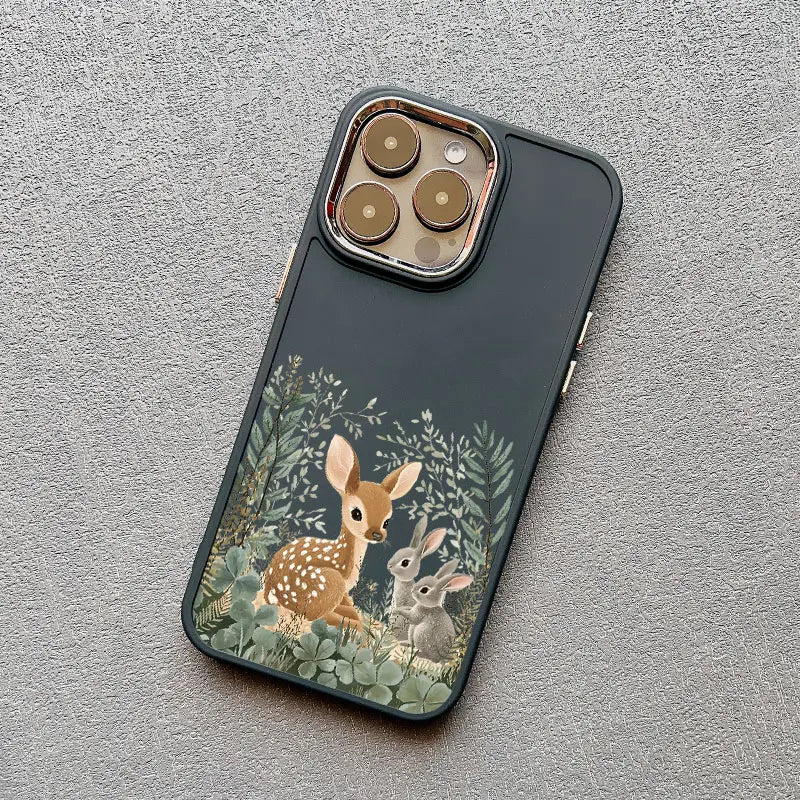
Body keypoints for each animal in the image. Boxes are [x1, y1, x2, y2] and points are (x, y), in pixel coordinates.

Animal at [262, 434, 422, 631]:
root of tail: (270, 590)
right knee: (313, 616)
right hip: (327, 584)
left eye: (387, 521)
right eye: (356, 513)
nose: (377, 535)